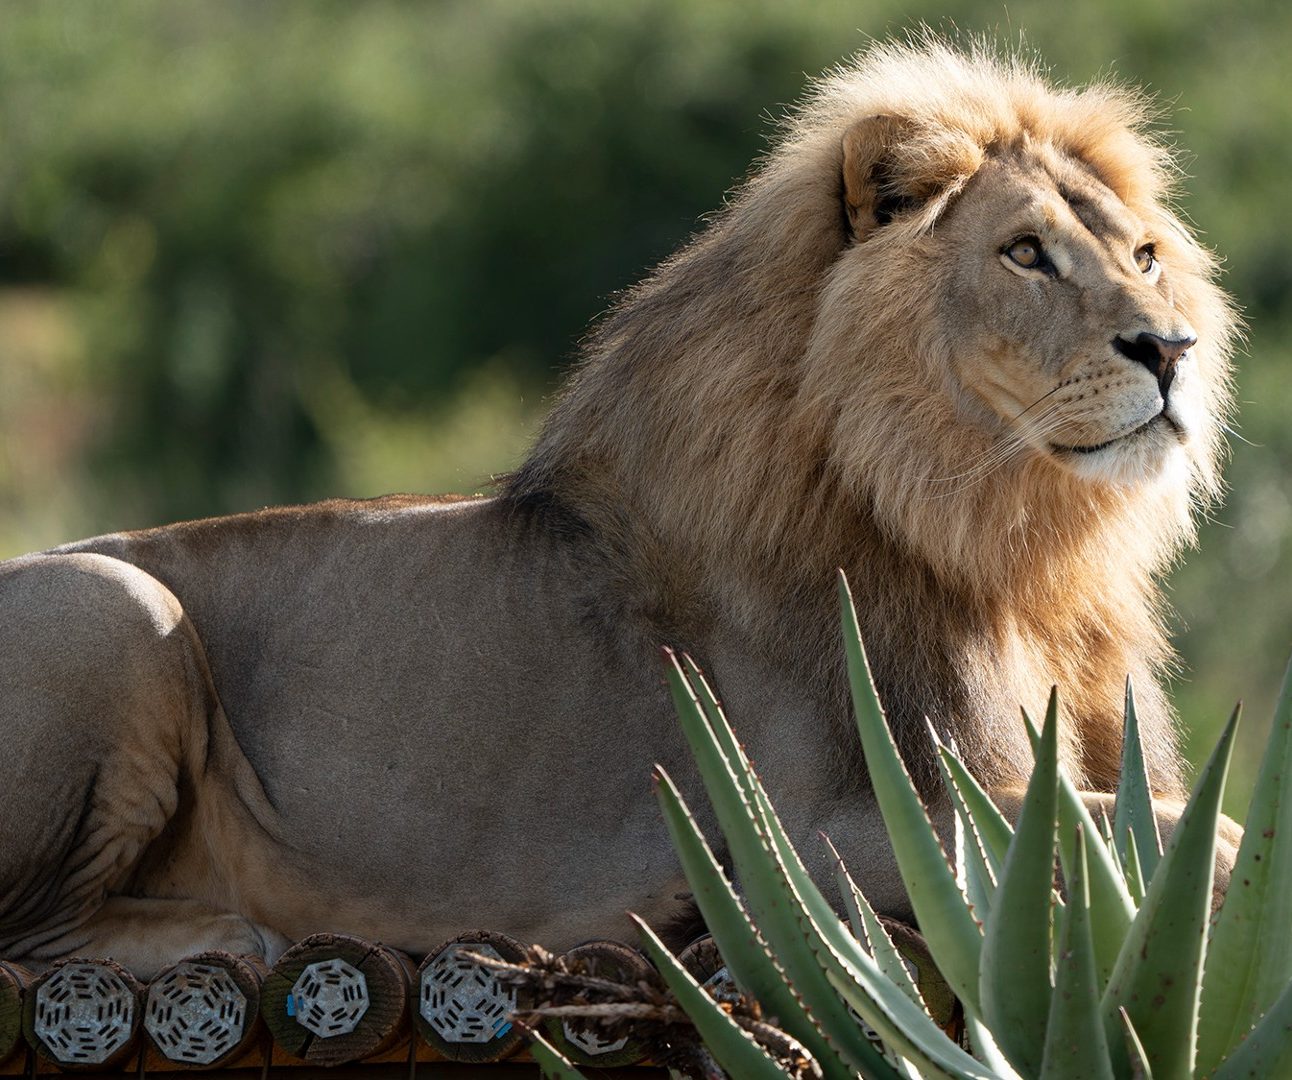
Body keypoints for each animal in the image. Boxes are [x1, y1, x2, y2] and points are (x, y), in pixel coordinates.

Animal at [0, 40, 1235, 976]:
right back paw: (236, 934)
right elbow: (1177, 834)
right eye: (1024, 253)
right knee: (29, 933)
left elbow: (1175, 817)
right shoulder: (812, 839)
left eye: (1143, 254)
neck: (1016, 547)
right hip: (117, 601)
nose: (1170, 349)